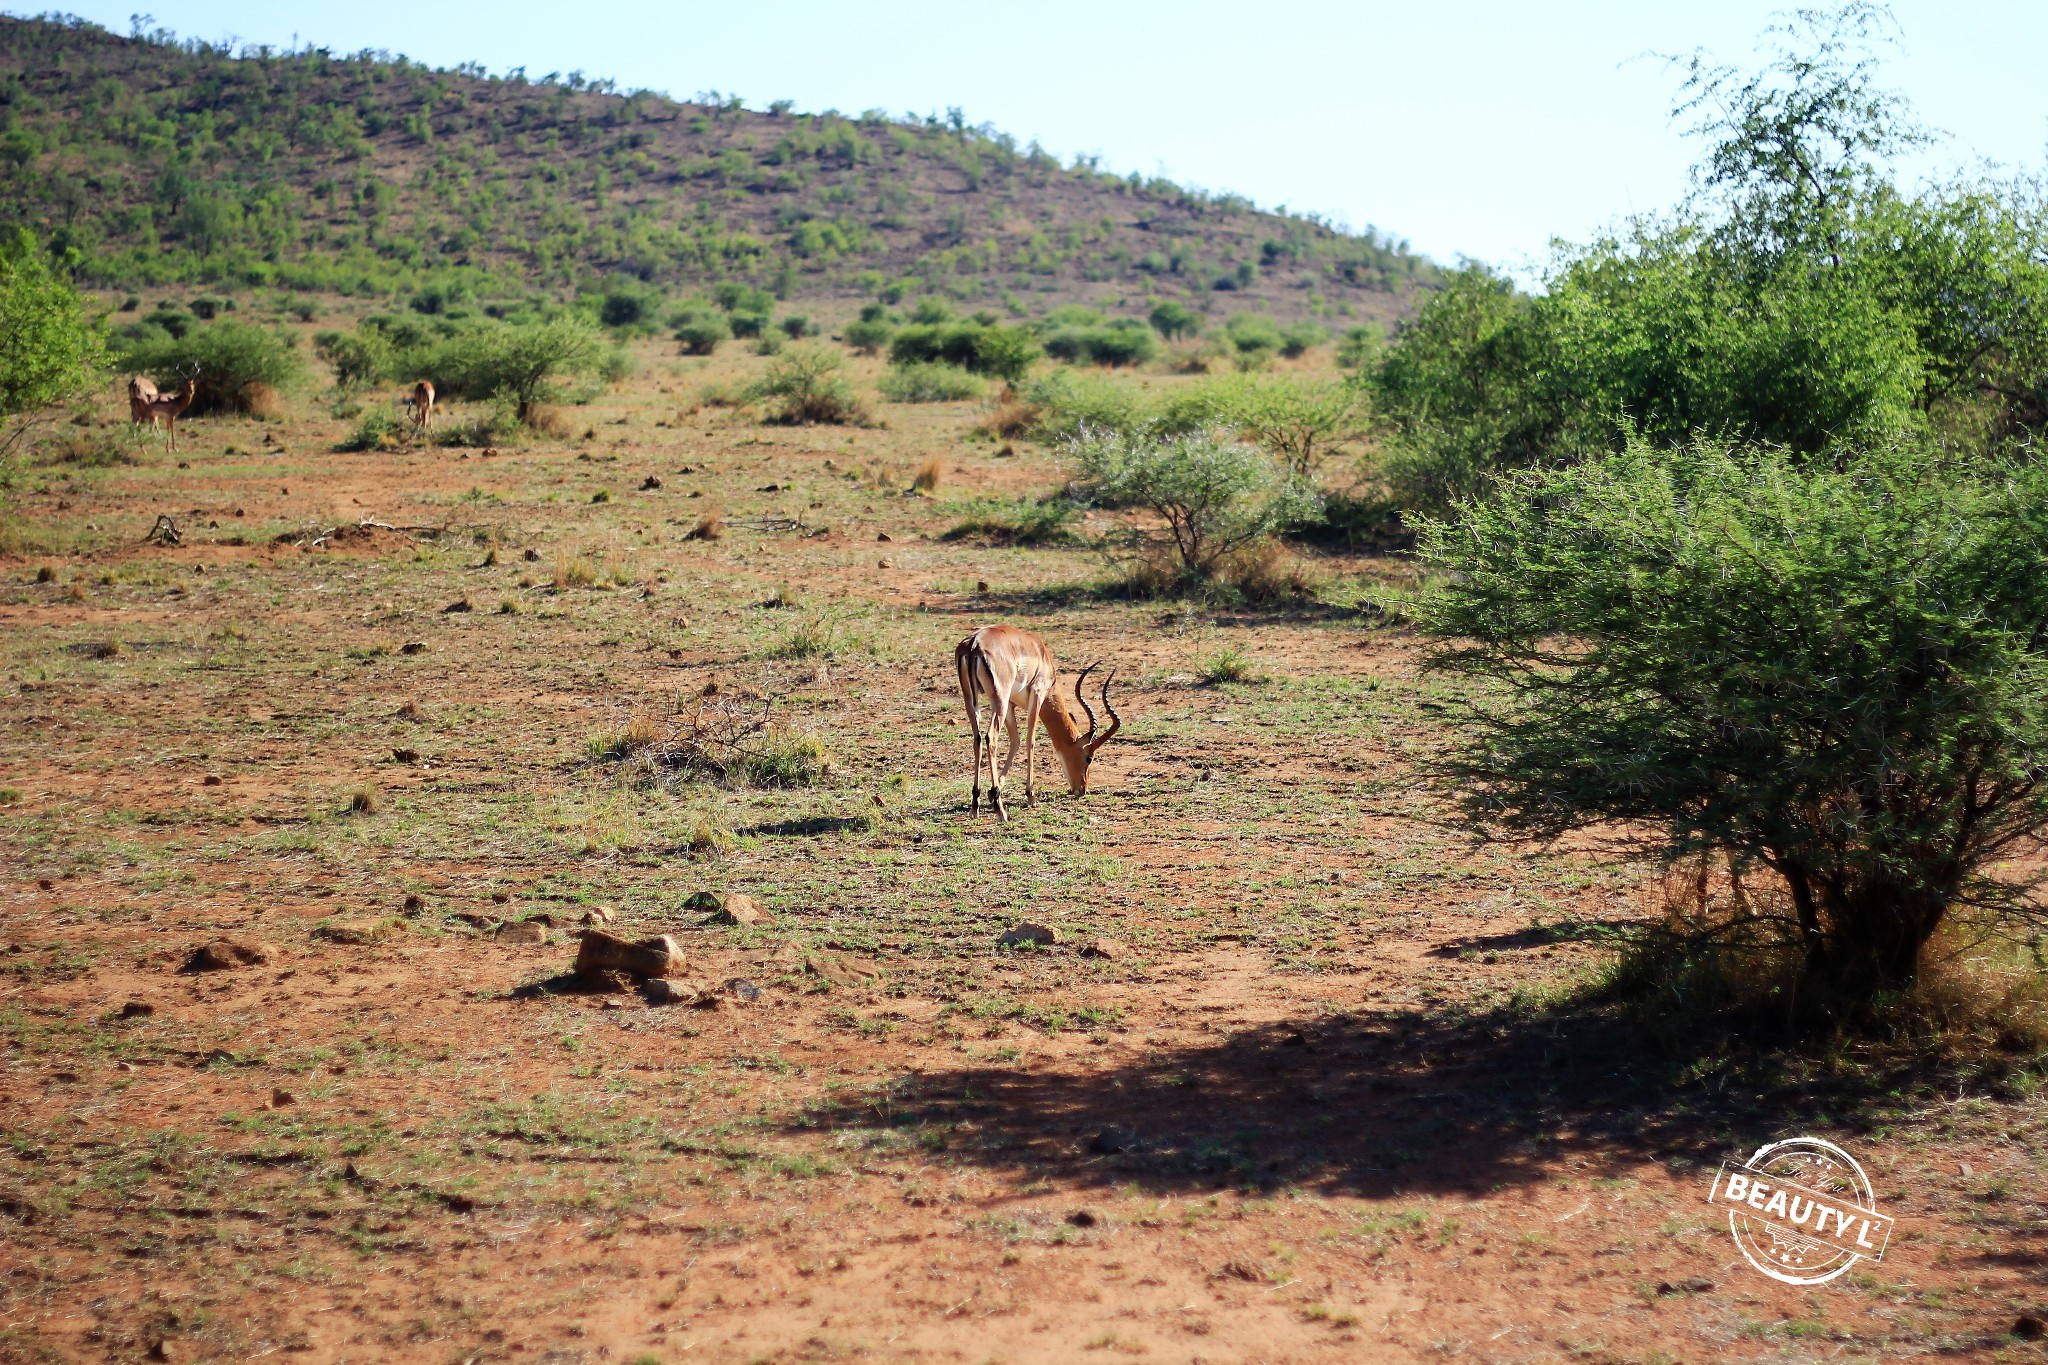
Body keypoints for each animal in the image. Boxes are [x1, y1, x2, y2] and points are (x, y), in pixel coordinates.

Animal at [954, 626, 1122, 822]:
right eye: (1089, 758)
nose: (1082, 789)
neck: (1040, 653)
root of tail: (974, 644)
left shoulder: (1010, 704)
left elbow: (1016, 741)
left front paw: (993, 791)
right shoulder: (1037, 694)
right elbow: (1030, 741)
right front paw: (1030, 795)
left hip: (972, 700)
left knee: (978, 739)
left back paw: (975, 805)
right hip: (999, 699)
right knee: (991, 738)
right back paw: (1000, 810)